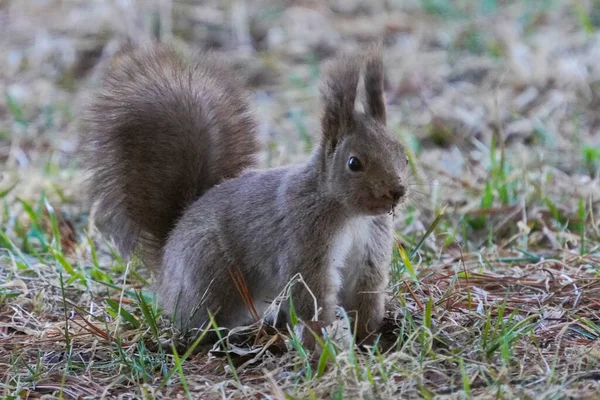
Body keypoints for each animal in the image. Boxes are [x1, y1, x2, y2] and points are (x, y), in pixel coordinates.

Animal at [84, 43, 410, 344]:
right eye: (354, 163)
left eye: (403, 155)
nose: (397, 192)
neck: (349, 214)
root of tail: (167, 262)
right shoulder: (304, 244)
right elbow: (313, 296)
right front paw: (323, 345)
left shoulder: (370, 250)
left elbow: (365, 295)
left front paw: (370, 339)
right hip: (211, 276)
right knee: (198, 323)